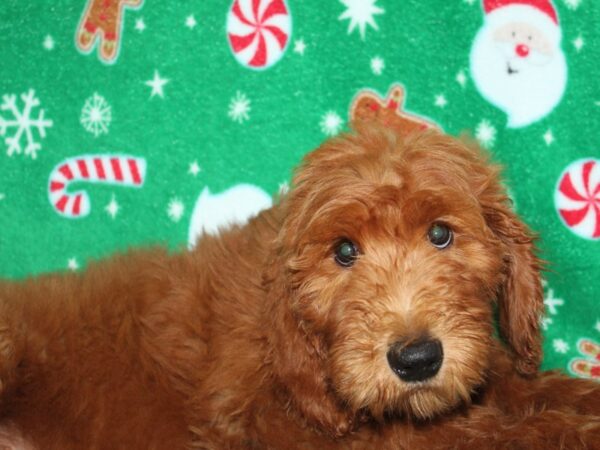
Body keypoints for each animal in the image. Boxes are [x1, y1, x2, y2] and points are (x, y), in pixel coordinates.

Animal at [1, 123, 600, 450]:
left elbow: (526, 388)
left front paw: (579, 397)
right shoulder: (275, 424)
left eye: (440, 234)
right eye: (344, 252)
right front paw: (570, 431)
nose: (416, 359)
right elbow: (483, 434)